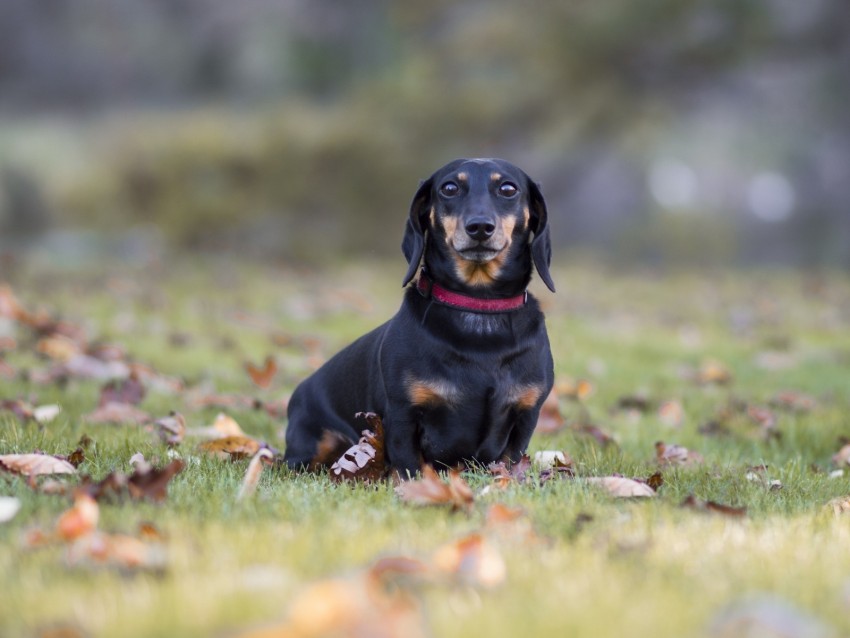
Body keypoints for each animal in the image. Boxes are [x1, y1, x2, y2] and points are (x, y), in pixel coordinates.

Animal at [282, 159, 552, 480]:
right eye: (449, 188)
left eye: (508, 189)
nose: (479, 227)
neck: (478, 306)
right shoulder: (403, 413)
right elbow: (410, 466)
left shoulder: (526, 414)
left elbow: (510, 461)